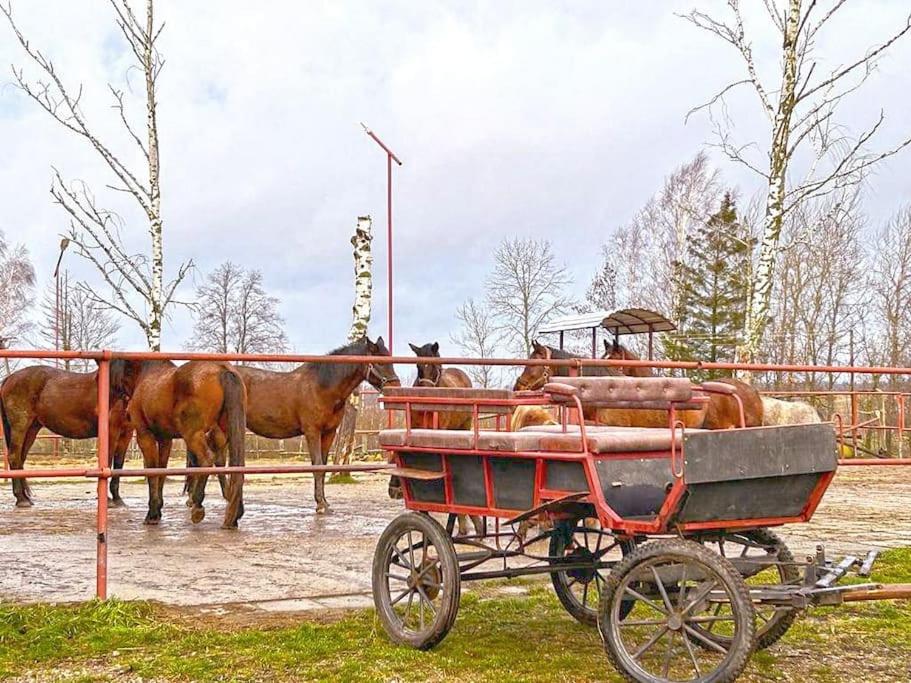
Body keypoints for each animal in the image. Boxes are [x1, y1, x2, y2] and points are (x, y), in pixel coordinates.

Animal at [0, 360, 145, 508]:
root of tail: (9, 378)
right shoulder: (112, 431)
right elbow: (108, 461)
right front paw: (108, 499)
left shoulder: (126, 434)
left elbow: (119, 464)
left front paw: (117, 498)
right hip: (20, 427)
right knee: (14, 457)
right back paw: (21, 499)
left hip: (32, 429)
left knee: (20, 459)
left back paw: (25, 497)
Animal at [128, 360, 247, 528]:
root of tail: (223, 371)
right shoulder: (165, 439)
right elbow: (161, 470)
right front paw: (157, 510)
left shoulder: (144, 435)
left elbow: (152, 470)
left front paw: (152, 514)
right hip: (223, 432)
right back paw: (234, 512)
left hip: (193, 434)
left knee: (207, 459)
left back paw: (197, 506)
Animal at [224, 336, 399, 515]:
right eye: (378, 363)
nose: (395, 388)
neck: (322, 387)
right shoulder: (312, 432)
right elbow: (317, 465)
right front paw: (321, 504)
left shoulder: (329, 433)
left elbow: (323, 466)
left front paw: (323, 502)